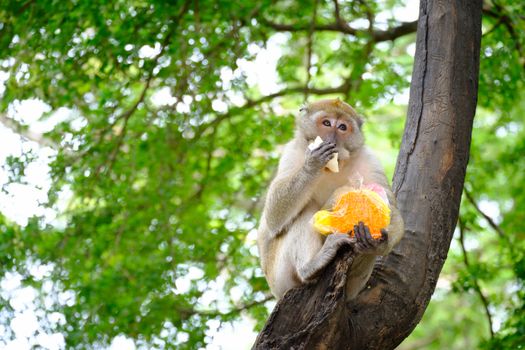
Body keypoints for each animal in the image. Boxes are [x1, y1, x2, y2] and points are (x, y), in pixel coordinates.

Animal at [256, 99, 404, 300]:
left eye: (342, 127)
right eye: (326, 123)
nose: (332, 140)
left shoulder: (370, 159)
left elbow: (389, 206)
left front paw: (380, 242)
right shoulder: (292, 152)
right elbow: (274, 215)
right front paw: (312, 165)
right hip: (280, 277)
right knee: (306, 208)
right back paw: (311, 267)